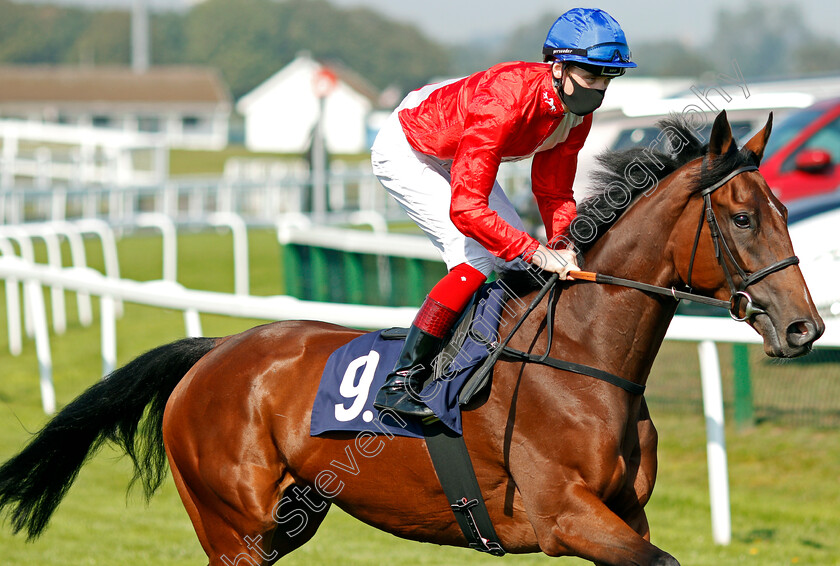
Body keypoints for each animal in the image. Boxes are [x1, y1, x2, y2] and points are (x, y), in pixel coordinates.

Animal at [0, 112, 828, 566]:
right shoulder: (568, 518)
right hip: (233, 524)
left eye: (787, 209)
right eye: (744, 217)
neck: (580, 359)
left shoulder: (626, 514)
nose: (805, 326)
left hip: (287, 518)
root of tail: (212, 354)